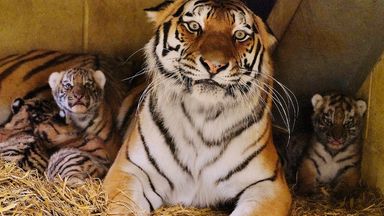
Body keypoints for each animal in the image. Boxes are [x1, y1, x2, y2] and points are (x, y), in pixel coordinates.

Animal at [104, 0, 292, 215]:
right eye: (194, 26)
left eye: (240, 35)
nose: (214, 65)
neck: (204, 116)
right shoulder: (130, 169)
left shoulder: (268, 184)